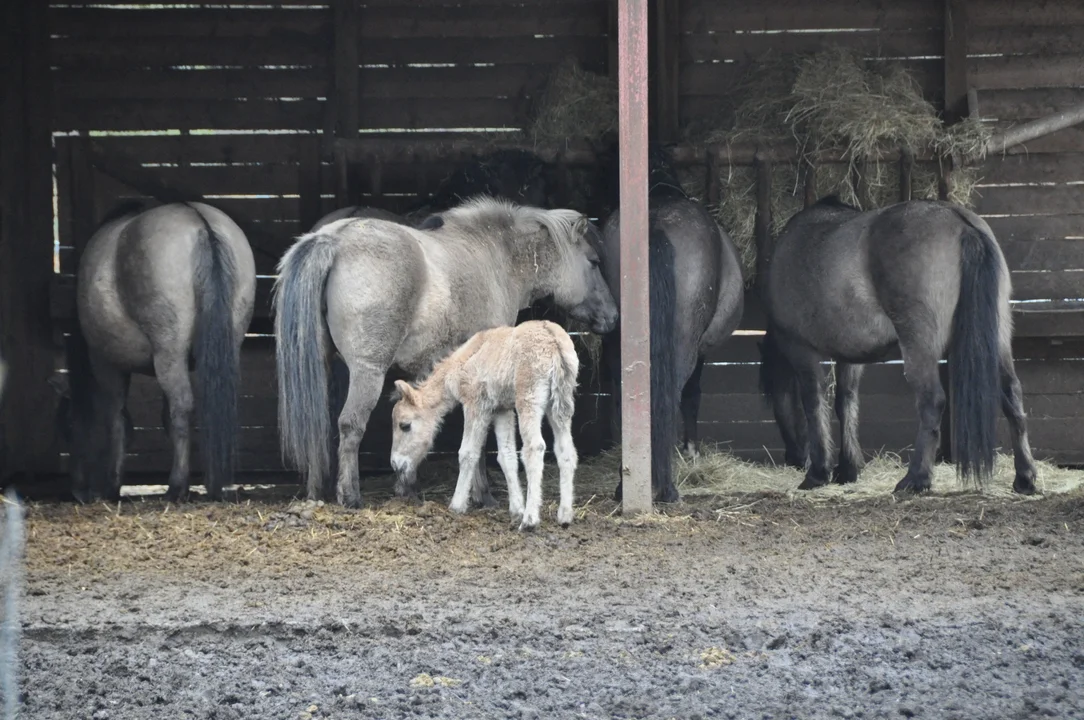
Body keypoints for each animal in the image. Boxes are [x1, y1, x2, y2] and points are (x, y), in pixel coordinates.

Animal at [271, 195, 620, 505]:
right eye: (594, 262)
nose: (613, 316)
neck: (495, 258)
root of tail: (333, 239)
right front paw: (482, 495)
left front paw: (407, 487)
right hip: (367, 371)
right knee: (350, 424)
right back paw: (350, 495)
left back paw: (317, 492)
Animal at [388, 320, 581, 529]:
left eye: (404, 425)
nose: (395, 464)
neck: (462, 361)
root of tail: (554, 340)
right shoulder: (502, 409)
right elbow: (506, 456)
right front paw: (516, 509)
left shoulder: (476, 404)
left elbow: (467, 453)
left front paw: (457, 505)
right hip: (561, 403)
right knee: (566, 450)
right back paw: (564, 516)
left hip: (529, 396)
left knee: (534, 448)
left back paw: (530, 520)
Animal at [598, 144, 750, 503]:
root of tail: (654, 223)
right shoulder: (702, 351)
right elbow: (692, 395)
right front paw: (691, 450)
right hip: (683, 345)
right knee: (669, 396)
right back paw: (666, 486)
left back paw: (627, 483)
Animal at [758, 199, 1036, 498]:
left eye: (773, 400)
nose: (793, 458)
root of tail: (960, 222)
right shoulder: (850, 355)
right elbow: (846, 402)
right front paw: (848, 469)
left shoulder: (799, 349)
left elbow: (813, 402)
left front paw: (819, 472)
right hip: (997, 338)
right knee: (1011, 395)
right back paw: (1025, 477)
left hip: (919, 344)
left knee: (932, 401)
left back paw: (916, 478)